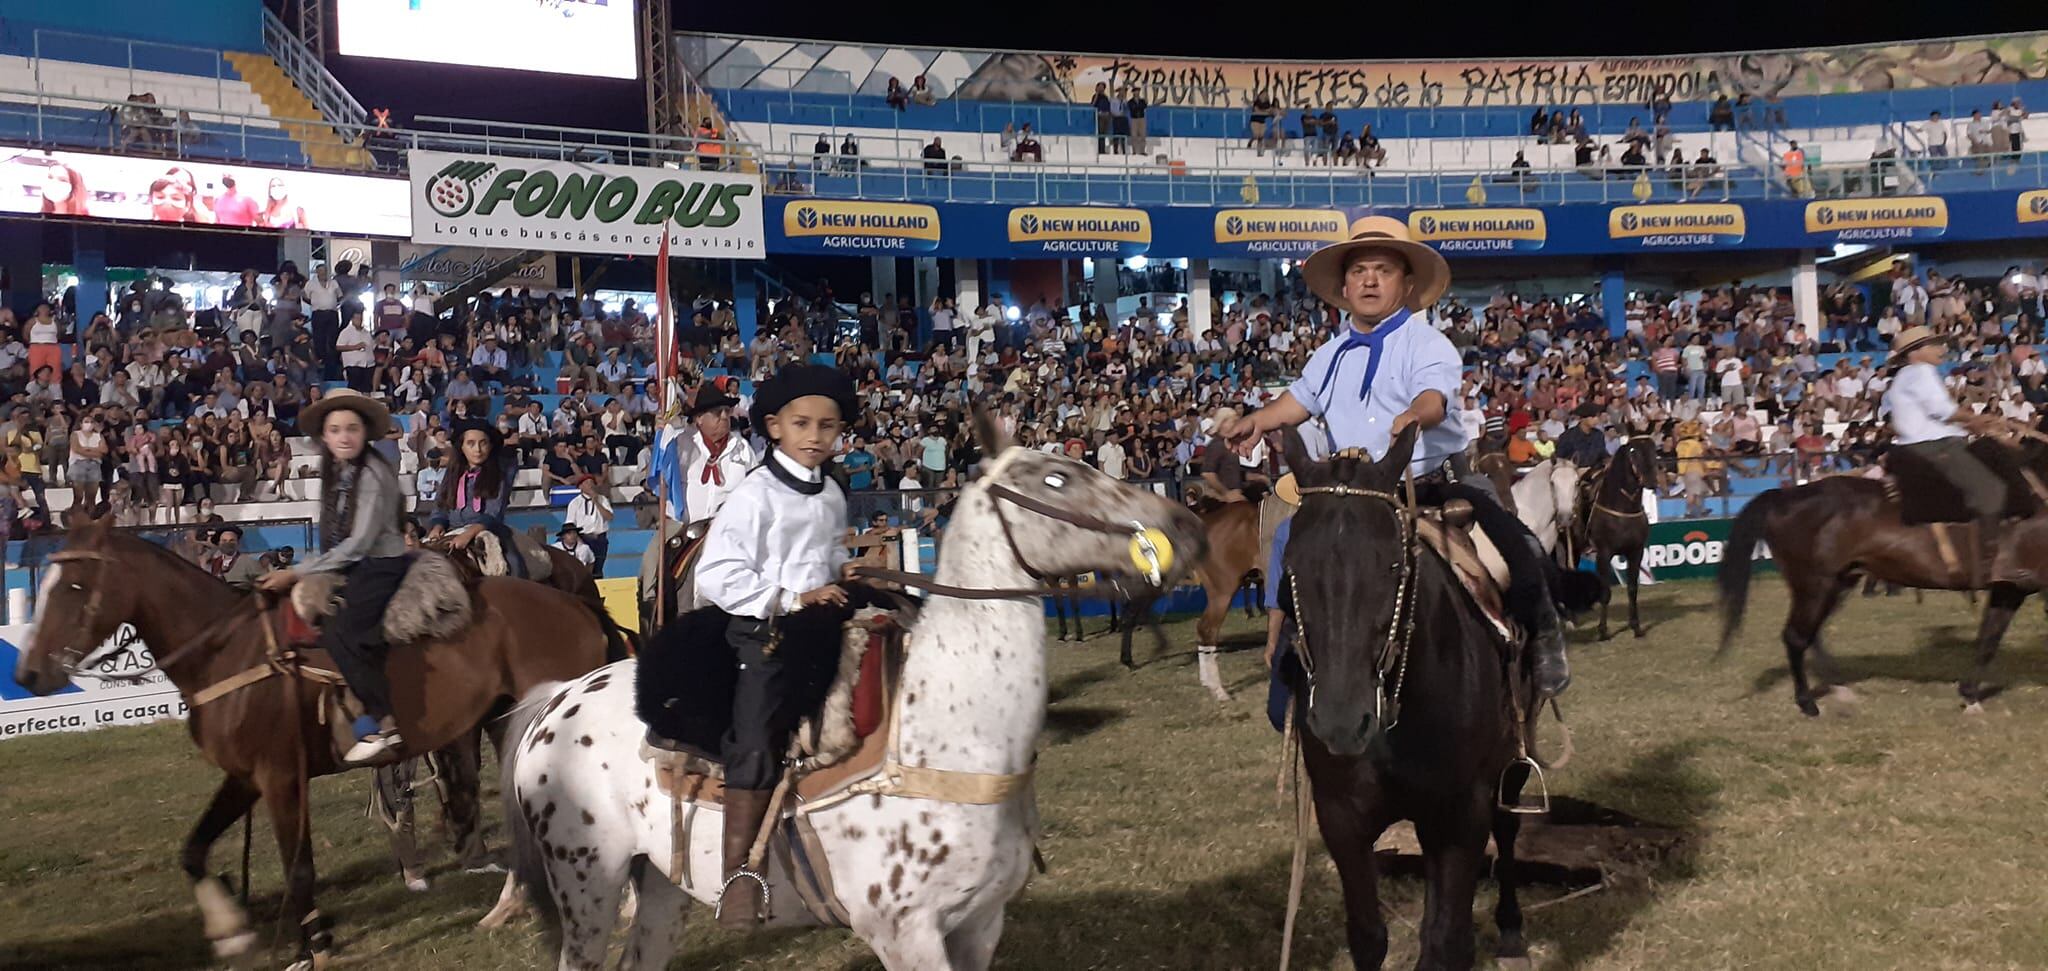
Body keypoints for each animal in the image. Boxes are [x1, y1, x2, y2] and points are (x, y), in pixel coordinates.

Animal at [12, 516, 614, 962]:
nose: (29, 674)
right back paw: (508, 907)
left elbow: (298, 866)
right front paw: (232, 931)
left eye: (75, 586)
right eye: (44, 585)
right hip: (506, 726)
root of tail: (578, 605)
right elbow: (194, 849)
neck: (230, 654)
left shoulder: (282, 777)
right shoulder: (246, 778)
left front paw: (312, 948)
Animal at [493, 409, 1196, 971]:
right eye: (1054, 479)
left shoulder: (981, 924)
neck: (946, 734)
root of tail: (557, 700)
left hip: (662, 885)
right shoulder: (906, 935)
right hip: (587, 882)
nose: (1182, 522)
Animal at [1277, 428, 1540, 966]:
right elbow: (1369, 935)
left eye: (1394, 564)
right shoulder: (1342, 820)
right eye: (1291, 564)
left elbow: (1446, 940)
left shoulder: (1460, 815)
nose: (1340, 722)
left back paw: (1510, 929)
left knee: (1507, 827)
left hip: (1513, 760)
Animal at [1712, 432, 2048, 712]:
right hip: (1814, 583)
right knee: (1796, 636)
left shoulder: (2010, 588)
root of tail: (1783, 496)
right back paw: (1807, 702)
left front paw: (1969, 695)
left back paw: (1837, 687)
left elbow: (1989, 639)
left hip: (1837, 582)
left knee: (1812, 634)